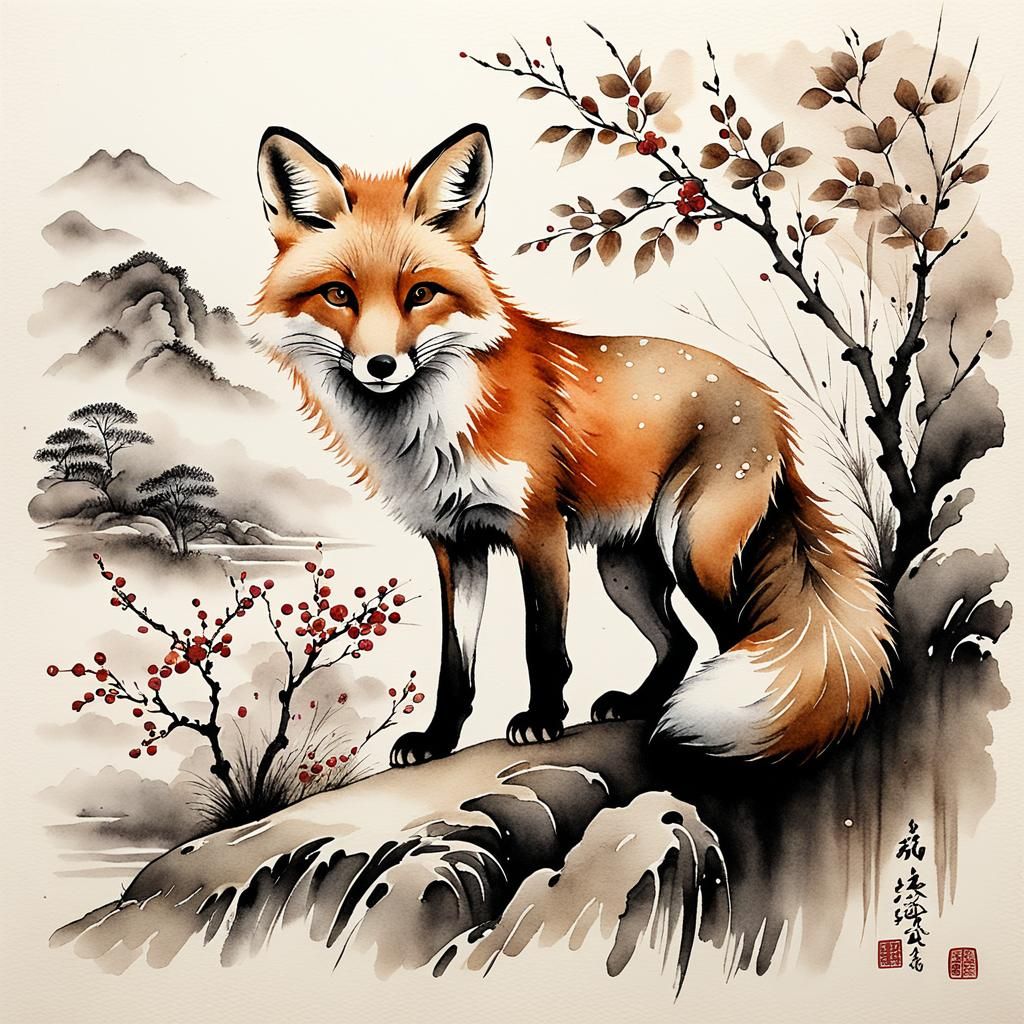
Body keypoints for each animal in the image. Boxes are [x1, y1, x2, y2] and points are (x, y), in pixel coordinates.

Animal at [251, 122, 892, 768]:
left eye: (422, 293)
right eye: (338, 295)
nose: (381, 366)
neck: (435, 426)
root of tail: (770, 402)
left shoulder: (538, 529)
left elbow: (543, 646)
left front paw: (540, 719)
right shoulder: (456, 544)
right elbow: (455, 667)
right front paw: (437, 740)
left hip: (691, 548)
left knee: (736, 641)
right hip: (624, 568)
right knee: (680, 643)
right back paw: (642, 704)